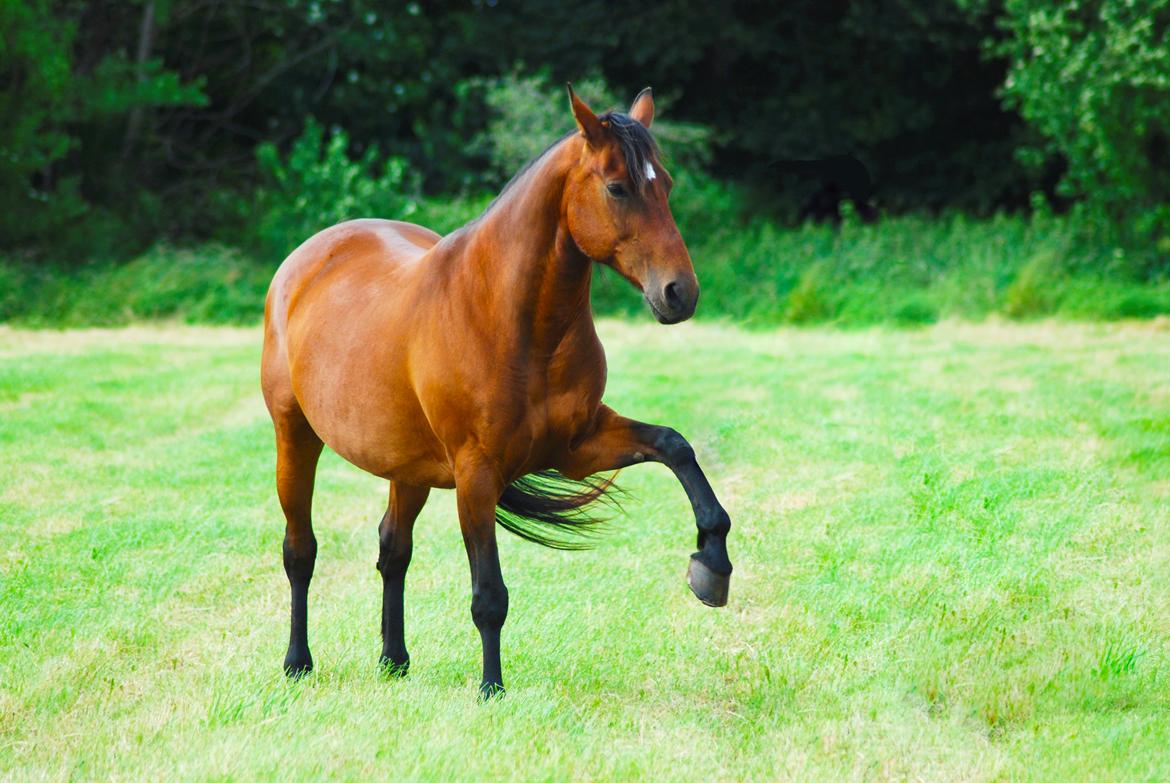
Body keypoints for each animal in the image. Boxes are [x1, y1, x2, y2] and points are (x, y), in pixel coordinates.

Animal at [263, 85, 730, 697]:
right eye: (618, 187)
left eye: (666, 184)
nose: (680, 293)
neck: (510, 319)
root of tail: (306, 258)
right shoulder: (477, 475)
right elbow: (490, 596)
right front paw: (492, 689)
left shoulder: (577, 445)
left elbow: (676, 446)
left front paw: (712, 563)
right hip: (295, 437)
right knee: (301, 551)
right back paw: (297, 662)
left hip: (408, 467)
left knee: (393, 550)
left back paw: (394, 660)